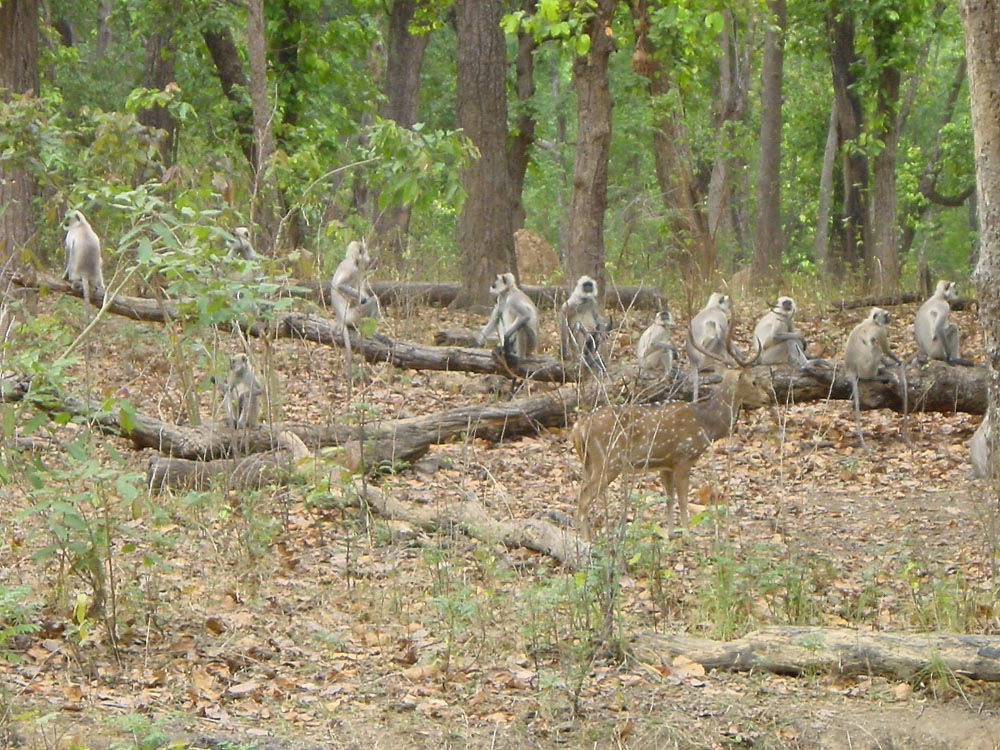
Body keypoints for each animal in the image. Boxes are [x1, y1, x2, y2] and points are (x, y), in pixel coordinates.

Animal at [568, 352, 768, 540]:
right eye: (754, 381)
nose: (768, 398)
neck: (706, 425)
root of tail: (579, 427)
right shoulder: (684, 457)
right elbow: (683, 499)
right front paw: (687, 534)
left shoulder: (665, 464)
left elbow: (669, 498)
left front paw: (670, 534)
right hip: (609, 460)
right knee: (584, 498)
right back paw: (587, 540)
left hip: (588, 463)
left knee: (580, 494)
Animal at [844, 306, 908, 446]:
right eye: (886, 315)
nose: (890, 318)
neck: (872, 322)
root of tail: (851, 368)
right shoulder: (880, 330)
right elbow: (885, 350)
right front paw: (898, 362)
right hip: (865, 368)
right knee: (876, 348)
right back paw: (875, 376)